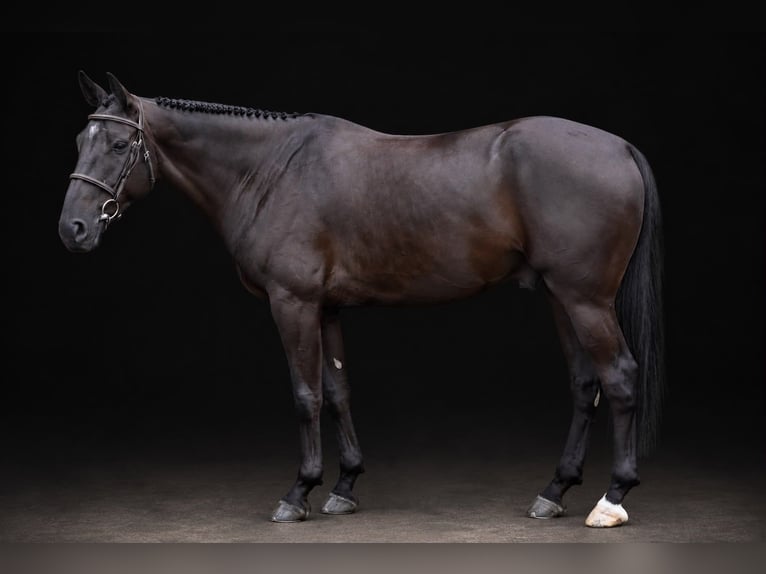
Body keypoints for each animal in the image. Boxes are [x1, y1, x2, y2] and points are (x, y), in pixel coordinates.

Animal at [58, 71, 665, 528]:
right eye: (81, 143)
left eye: (119, 144)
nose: (74, 229)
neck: (271, 169)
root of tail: (620, 146)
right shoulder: (326, 307)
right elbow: (338, 390)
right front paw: (343, 486)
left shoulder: (293, 302)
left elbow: (305, 395)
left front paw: (297, 493)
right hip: (562, 297)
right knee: (585, 385)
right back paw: (554, 492)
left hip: (586, 299)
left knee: (619, 378)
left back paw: (611, 500)